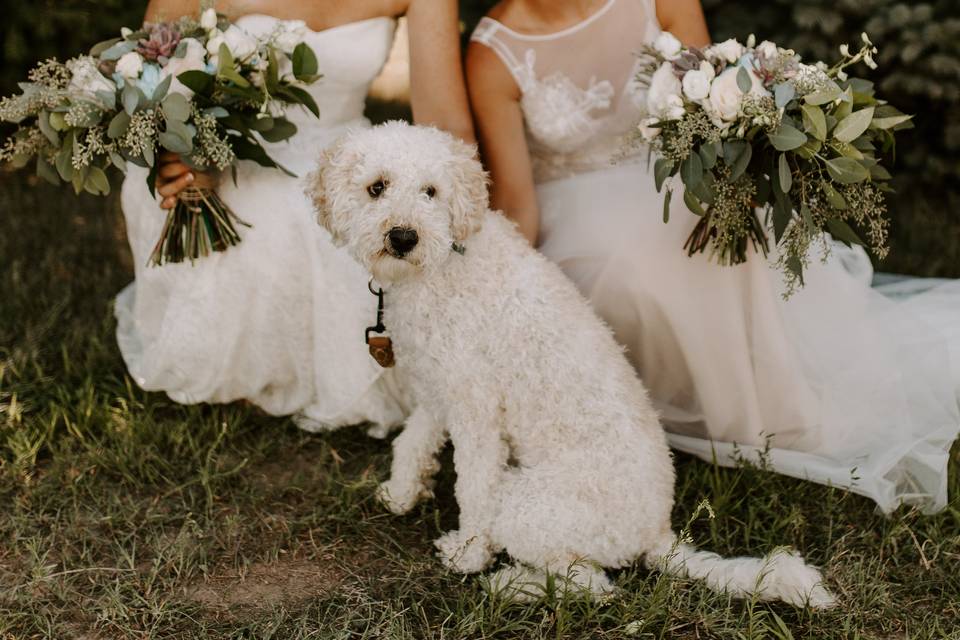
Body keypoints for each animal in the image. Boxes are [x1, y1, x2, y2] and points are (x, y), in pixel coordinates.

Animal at [312, 122, 836, 608]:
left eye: (431, 192)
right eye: (377, 186)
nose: (404, 237)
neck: (443, 264)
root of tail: (658, 534)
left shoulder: (475, 408)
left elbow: (473, 486)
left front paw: (469, 553)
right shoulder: (440, 387)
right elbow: (412, 442)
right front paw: (400, 493)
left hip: (526, 506)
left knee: (593, 585)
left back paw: (510, 584)